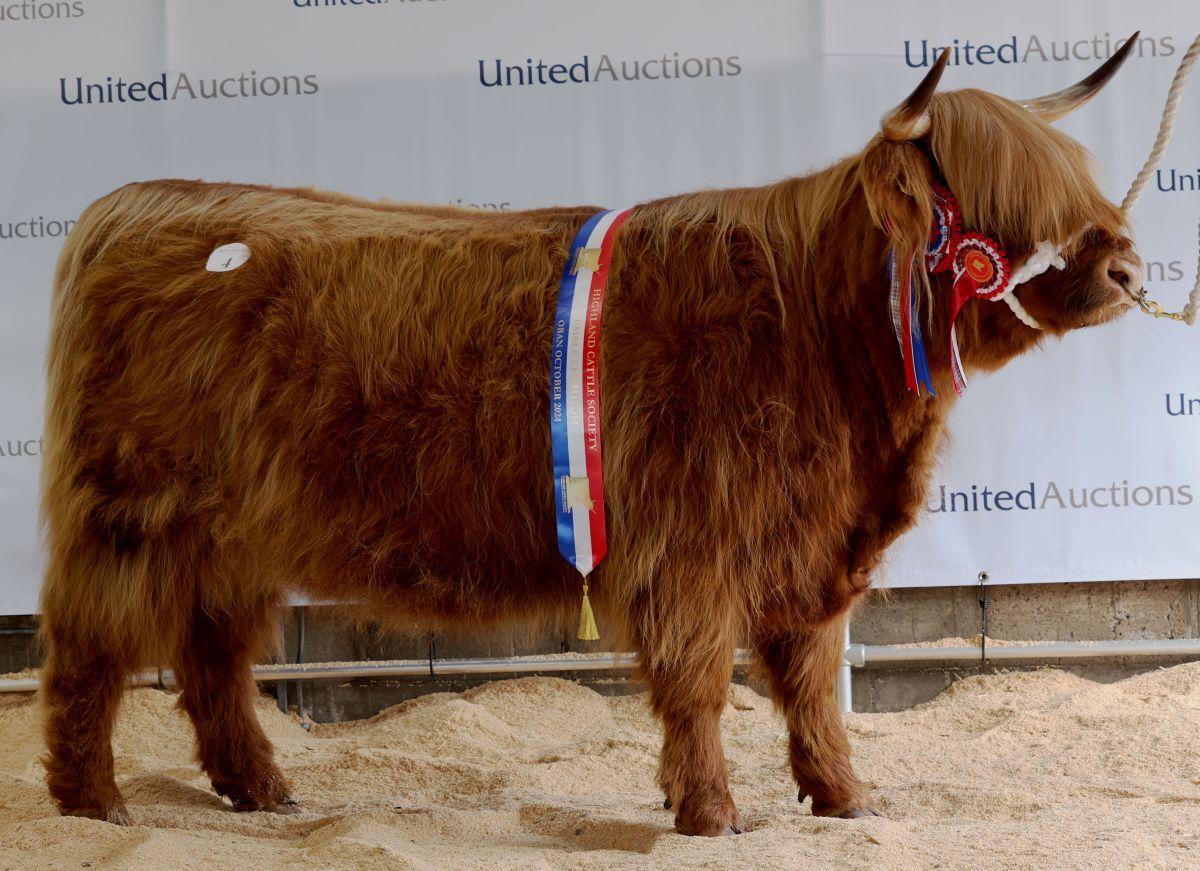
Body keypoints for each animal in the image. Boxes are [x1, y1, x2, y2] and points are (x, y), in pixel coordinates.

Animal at [39, 42, 1142, 839]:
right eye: (1003, 197)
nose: (1128, 268)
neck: (820, 338)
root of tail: (137, 202)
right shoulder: (694, 547)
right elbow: (702, 683)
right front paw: (711, 813)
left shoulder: (806, 543)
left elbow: (811, 686)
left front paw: (844, 796)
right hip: (128, 514)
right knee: (91, 647)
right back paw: (95, 801)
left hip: (226, 534)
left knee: (213, 655)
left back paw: (260, 789)